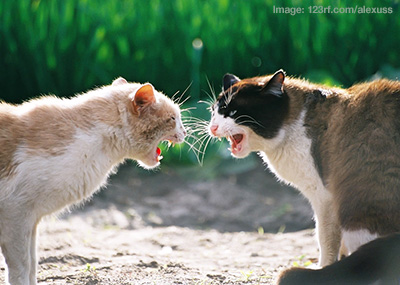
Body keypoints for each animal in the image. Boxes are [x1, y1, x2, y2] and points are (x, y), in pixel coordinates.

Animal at [0, 76, 185, 282]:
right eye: (173, 119)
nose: (185, 131)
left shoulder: (31, 221)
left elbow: (32, 264)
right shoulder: (16, 214)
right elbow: (21, 268)